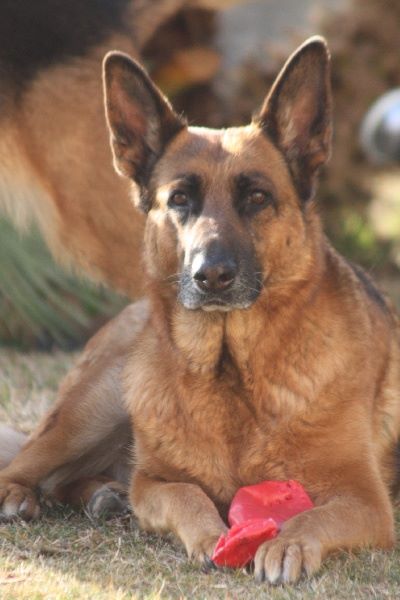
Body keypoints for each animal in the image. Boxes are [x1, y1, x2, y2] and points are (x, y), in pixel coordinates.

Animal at [0, 35, 400, 584]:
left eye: (257, 197)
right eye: (179, 199)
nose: (210, 275)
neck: (230, 372)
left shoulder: (366, 501)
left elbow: (314, 516)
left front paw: (287, 544)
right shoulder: (154, 483)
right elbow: (187, 493)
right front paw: (212, 536)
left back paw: (103, 495)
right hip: (95, 405)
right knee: (25, 466)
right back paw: (28, 494)